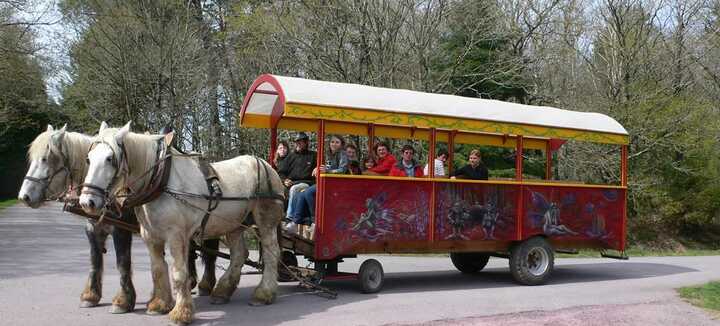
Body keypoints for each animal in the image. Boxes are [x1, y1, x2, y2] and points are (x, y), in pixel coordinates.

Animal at [16, 124, 217, 314]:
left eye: (45, 158)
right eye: (88, 160)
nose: (24, 196)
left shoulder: (121, 229)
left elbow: (122, 263)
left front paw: (123, 301)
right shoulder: (93, 229)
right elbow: (95, 260)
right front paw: (90, 295)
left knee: (209, 253)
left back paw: (206, 285)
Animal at [76, 121, 284, 324]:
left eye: (110, 158)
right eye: (88, 159)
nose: (87, 202)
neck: (161, 181)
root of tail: (265, 164)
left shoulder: (176, 235)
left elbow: (178, 273)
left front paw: (181, 313)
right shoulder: (151, 236)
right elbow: (158, 269)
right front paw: (159, 305)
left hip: (266, 220)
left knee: (271, 252)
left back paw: (263, 294)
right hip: (233, 224)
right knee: (239, 254)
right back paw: (222, 291)